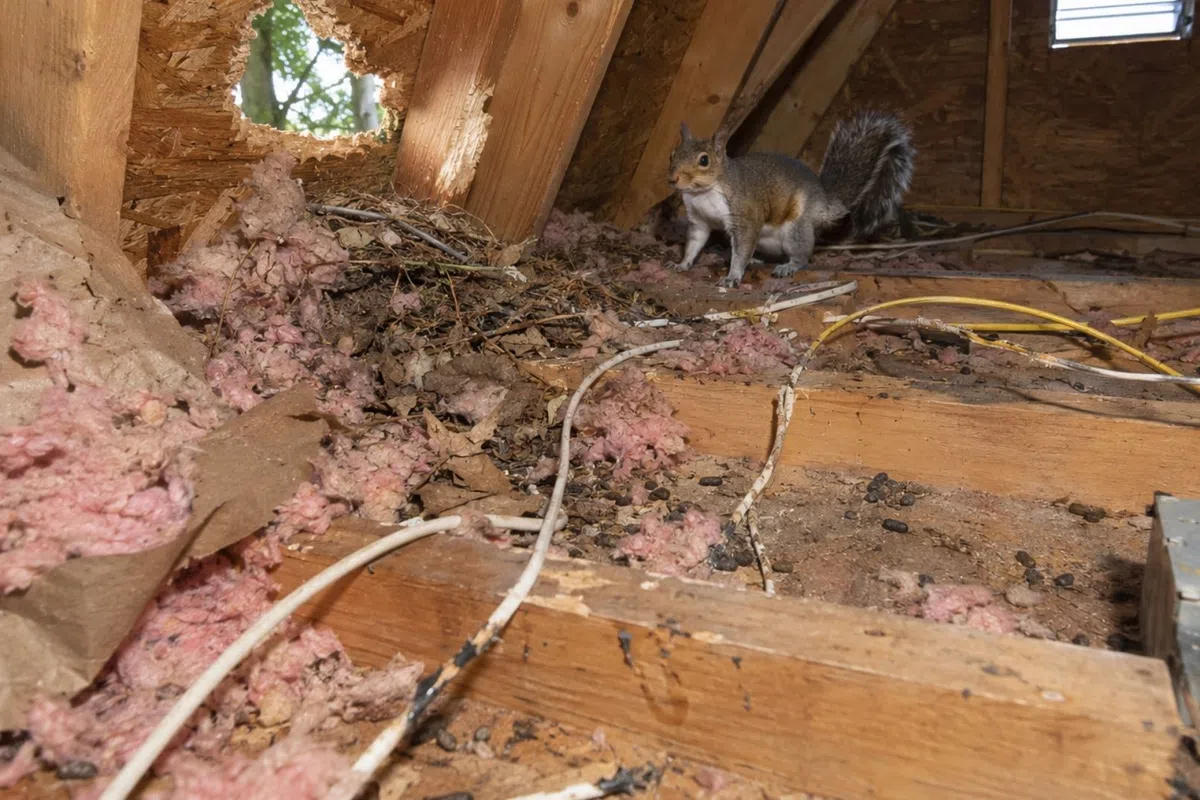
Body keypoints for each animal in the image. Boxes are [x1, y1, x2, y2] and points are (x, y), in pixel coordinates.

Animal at [666, 110, 916, 288]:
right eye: (672, 154)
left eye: (704, 160)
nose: (673, 179)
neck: (704, 193)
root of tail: (824, 202)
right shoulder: (699, 220)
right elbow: (694, 242)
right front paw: (682, 264)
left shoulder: (745, 216)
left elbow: (742, 247)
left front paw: (733, 276)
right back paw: (756, 260)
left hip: (796, 228)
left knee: (802, 255)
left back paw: (789, 266)